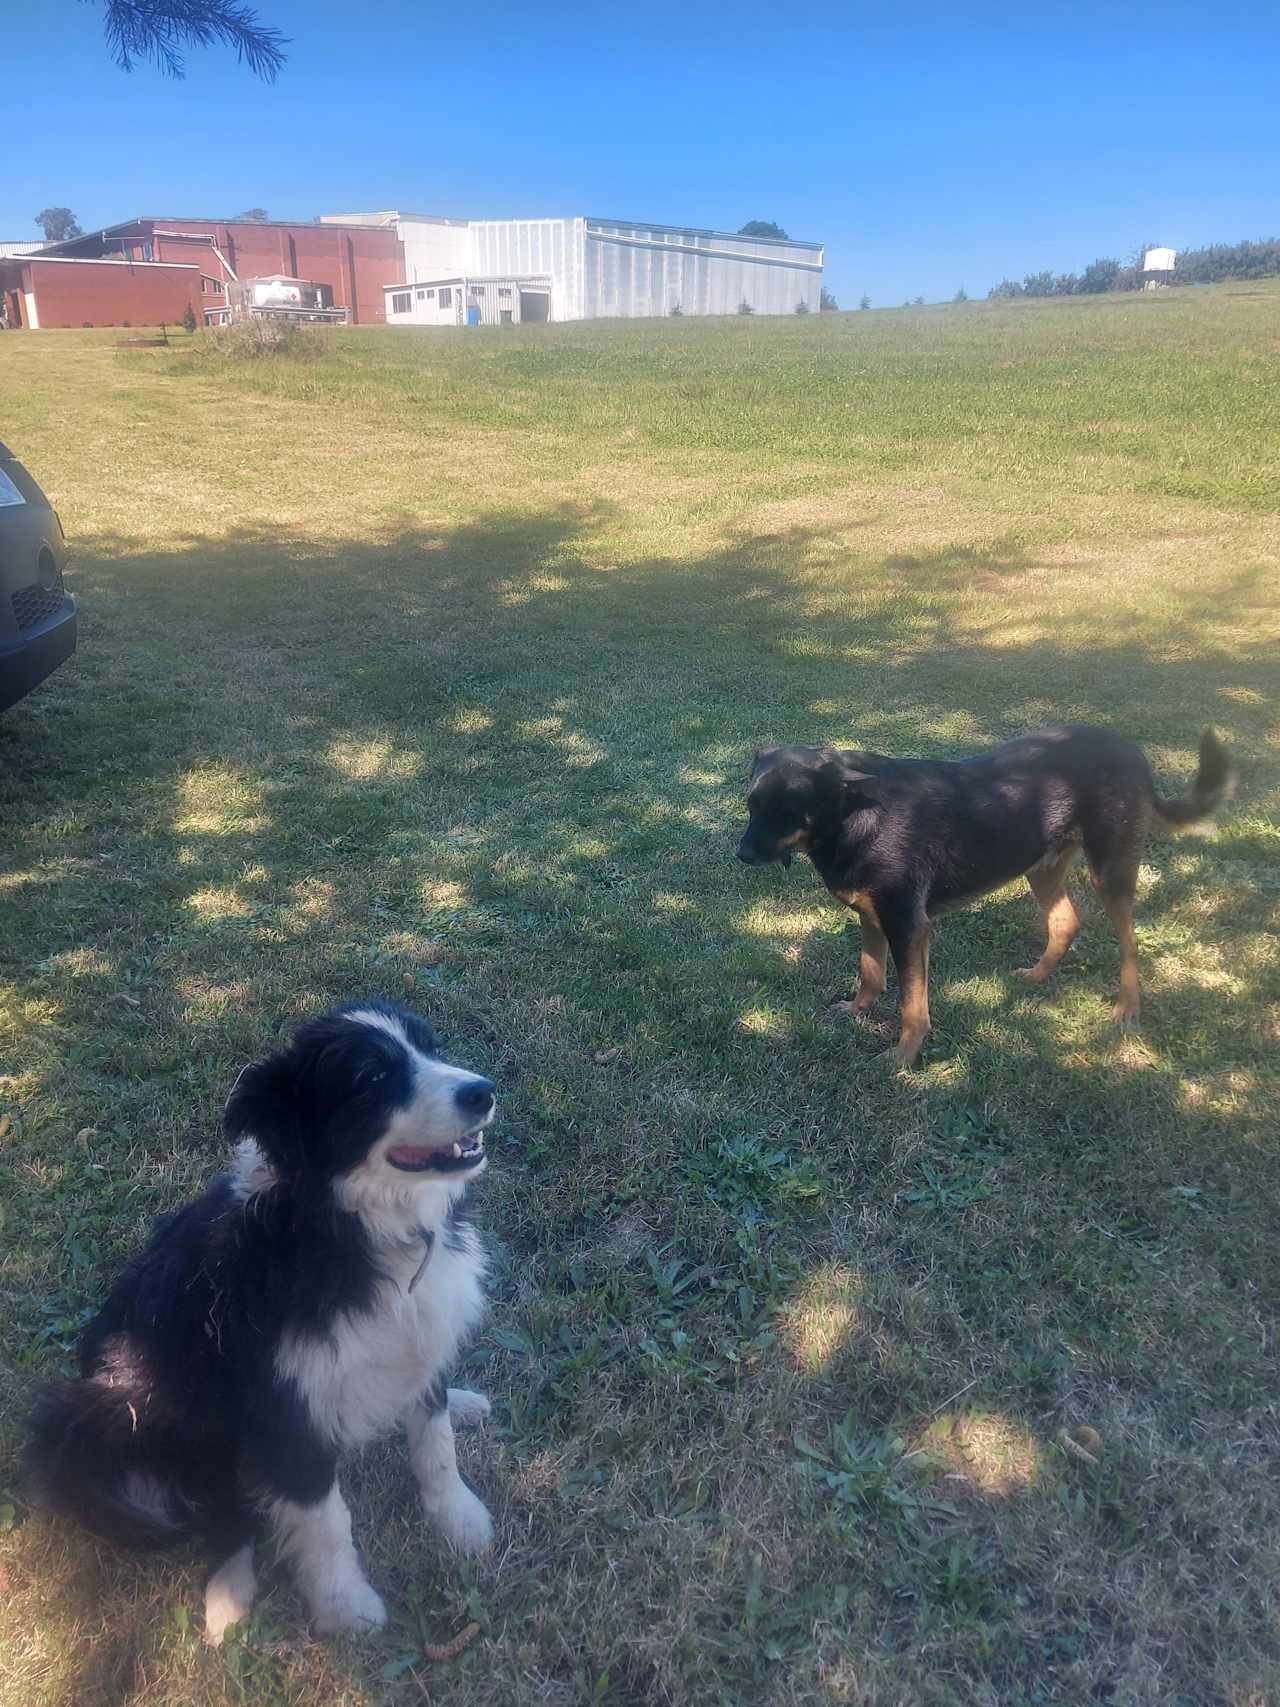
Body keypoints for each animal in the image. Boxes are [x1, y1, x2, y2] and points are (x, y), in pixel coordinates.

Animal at [26, 996, 494, 1638]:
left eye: (429, 1046)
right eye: (370, 1079)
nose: (484, 1092)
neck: (346, 1225)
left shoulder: (418, 1334)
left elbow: (436, 1442)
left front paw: (461, 1519)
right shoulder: (284, 1401)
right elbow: (324, 1518)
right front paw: (345, 1607)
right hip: (140, 1410)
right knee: (217, 1500)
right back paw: (227, 1596)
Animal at [740, 720, 1235, 1065]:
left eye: (787, 810)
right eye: (750, 805)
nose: (741, 855)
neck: (851, 814)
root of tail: (1133, 751)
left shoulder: (908, 927)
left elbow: (911, 1006)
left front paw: (903, 1059)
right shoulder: (874, 918)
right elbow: (870, 973)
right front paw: (858, 1010)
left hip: (1110, 874)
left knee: (1129, 944)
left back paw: (1127, 1009)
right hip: (1042, 868)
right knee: (1066, 923)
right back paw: (1037, 977)